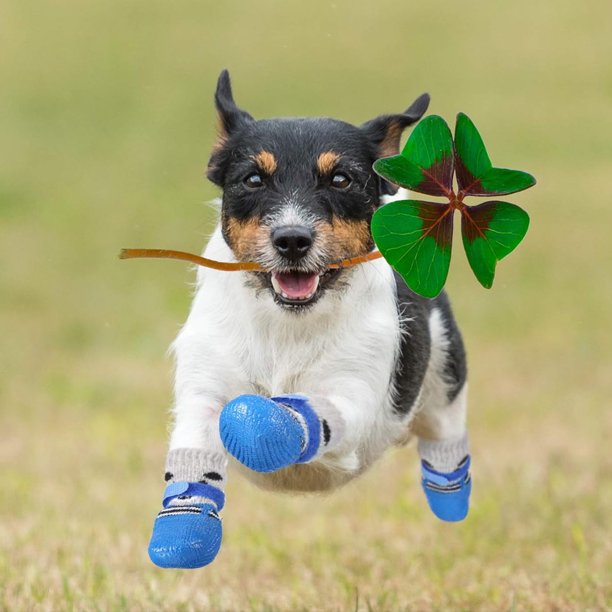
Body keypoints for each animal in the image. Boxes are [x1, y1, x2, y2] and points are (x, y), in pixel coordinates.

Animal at [147, 71, 468, 568]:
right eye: (253, 178)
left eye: (341, 178)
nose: (292, 239)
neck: (286, 323)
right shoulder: (203, 387)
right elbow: (196, 442)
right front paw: (182, 534)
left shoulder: (355, 395)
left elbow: (313, 414)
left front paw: (263, 427)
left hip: (445, 381)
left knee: (444, 438)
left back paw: (450, 498)